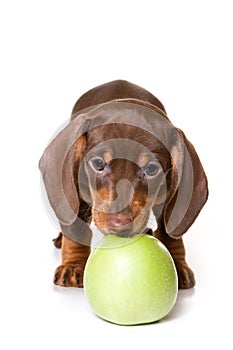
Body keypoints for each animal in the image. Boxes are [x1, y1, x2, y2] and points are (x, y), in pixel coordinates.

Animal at [39, 80, 208, 288]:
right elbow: (75, 225)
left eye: (152, 168)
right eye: (98, 163)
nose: (119, 223)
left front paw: (177, 263)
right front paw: (72, 266)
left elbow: (169, 230)